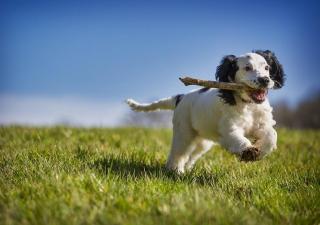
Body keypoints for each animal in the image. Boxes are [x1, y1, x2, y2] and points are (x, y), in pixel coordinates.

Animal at [125, 50, 284, 173]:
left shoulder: (262, 124)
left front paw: (261, 151)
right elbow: (239, 139)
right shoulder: (229, 130)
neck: (248, 105)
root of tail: (180, 97)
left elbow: (272, 135)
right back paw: (175, 171)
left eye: (267, 67)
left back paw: (186, 170)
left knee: (191, 156)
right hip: (184, 132)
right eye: (247, 68)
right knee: (178, 153)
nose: (265, 80)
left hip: (203, 141)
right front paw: (248, 151)